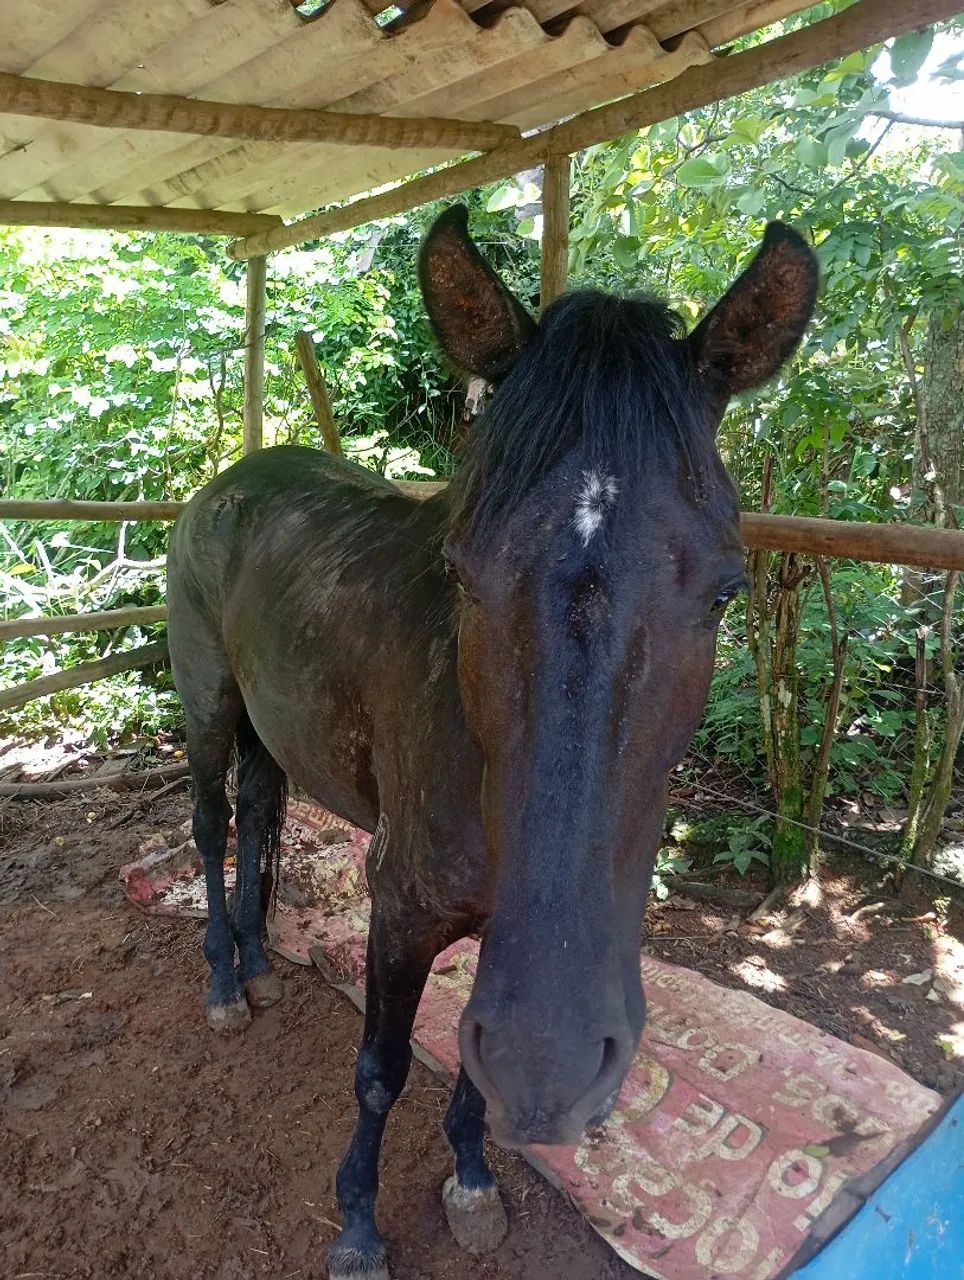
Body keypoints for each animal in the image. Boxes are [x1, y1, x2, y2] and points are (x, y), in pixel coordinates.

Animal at [166, 204, 817, 1279]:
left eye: (726, 590)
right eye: (462, 574)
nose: (551, 1068)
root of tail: (233, 478)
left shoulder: (498, 938)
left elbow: (472, 1065)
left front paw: (471, 1178)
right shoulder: (399, 905)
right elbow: (382, 1068)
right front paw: (358, 1225)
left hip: (272, 723)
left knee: (260, 813)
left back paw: (259, 960)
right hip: (210, 703)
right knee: (214, 825)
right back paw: (222, 979)